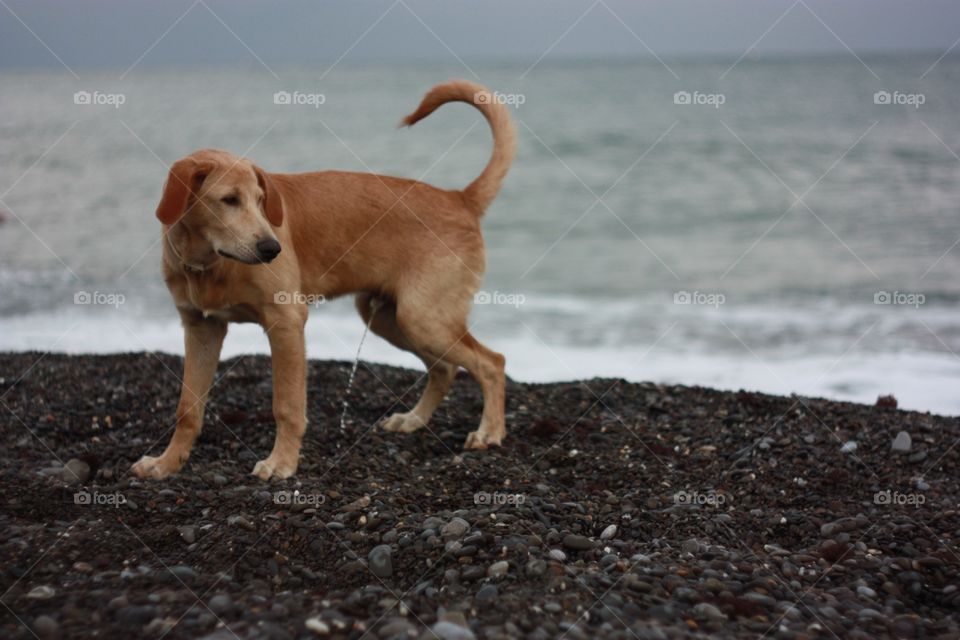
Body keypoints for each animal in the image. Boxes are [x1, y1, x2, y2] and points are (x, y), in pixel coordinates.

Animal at [133, 80, 516, 478]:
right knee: (445, 368)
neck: (211, 263)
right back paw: (413, 419)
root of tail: (460, 199)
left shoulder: (286, 321)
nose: (272, 249)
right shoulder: (201, 328)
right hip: (391, 318)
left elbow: (287, 407)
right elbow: (187, 409)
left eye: (260, 199)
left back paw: (488, 432)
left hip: (423, 318)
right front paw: (167, 463)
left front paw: (281, 462)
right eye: (228, 200)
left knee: (492, 363)